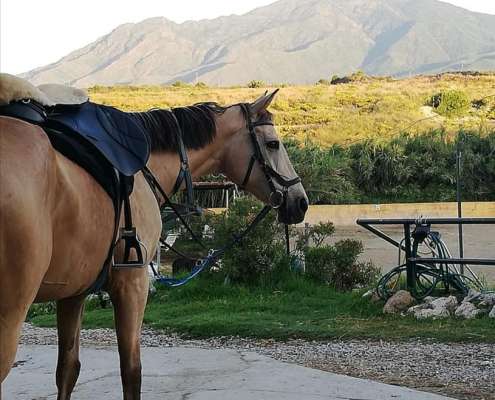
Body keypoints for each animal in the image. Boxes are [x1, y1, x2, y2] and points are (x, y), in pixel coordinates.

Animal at [0, 89, 308, 398]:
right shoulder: (133, 283)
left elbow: (67, 370)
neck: (144, 168)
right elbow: (131, 371)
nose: (301, 201)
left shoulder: (73, 293)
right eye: (273, 144)